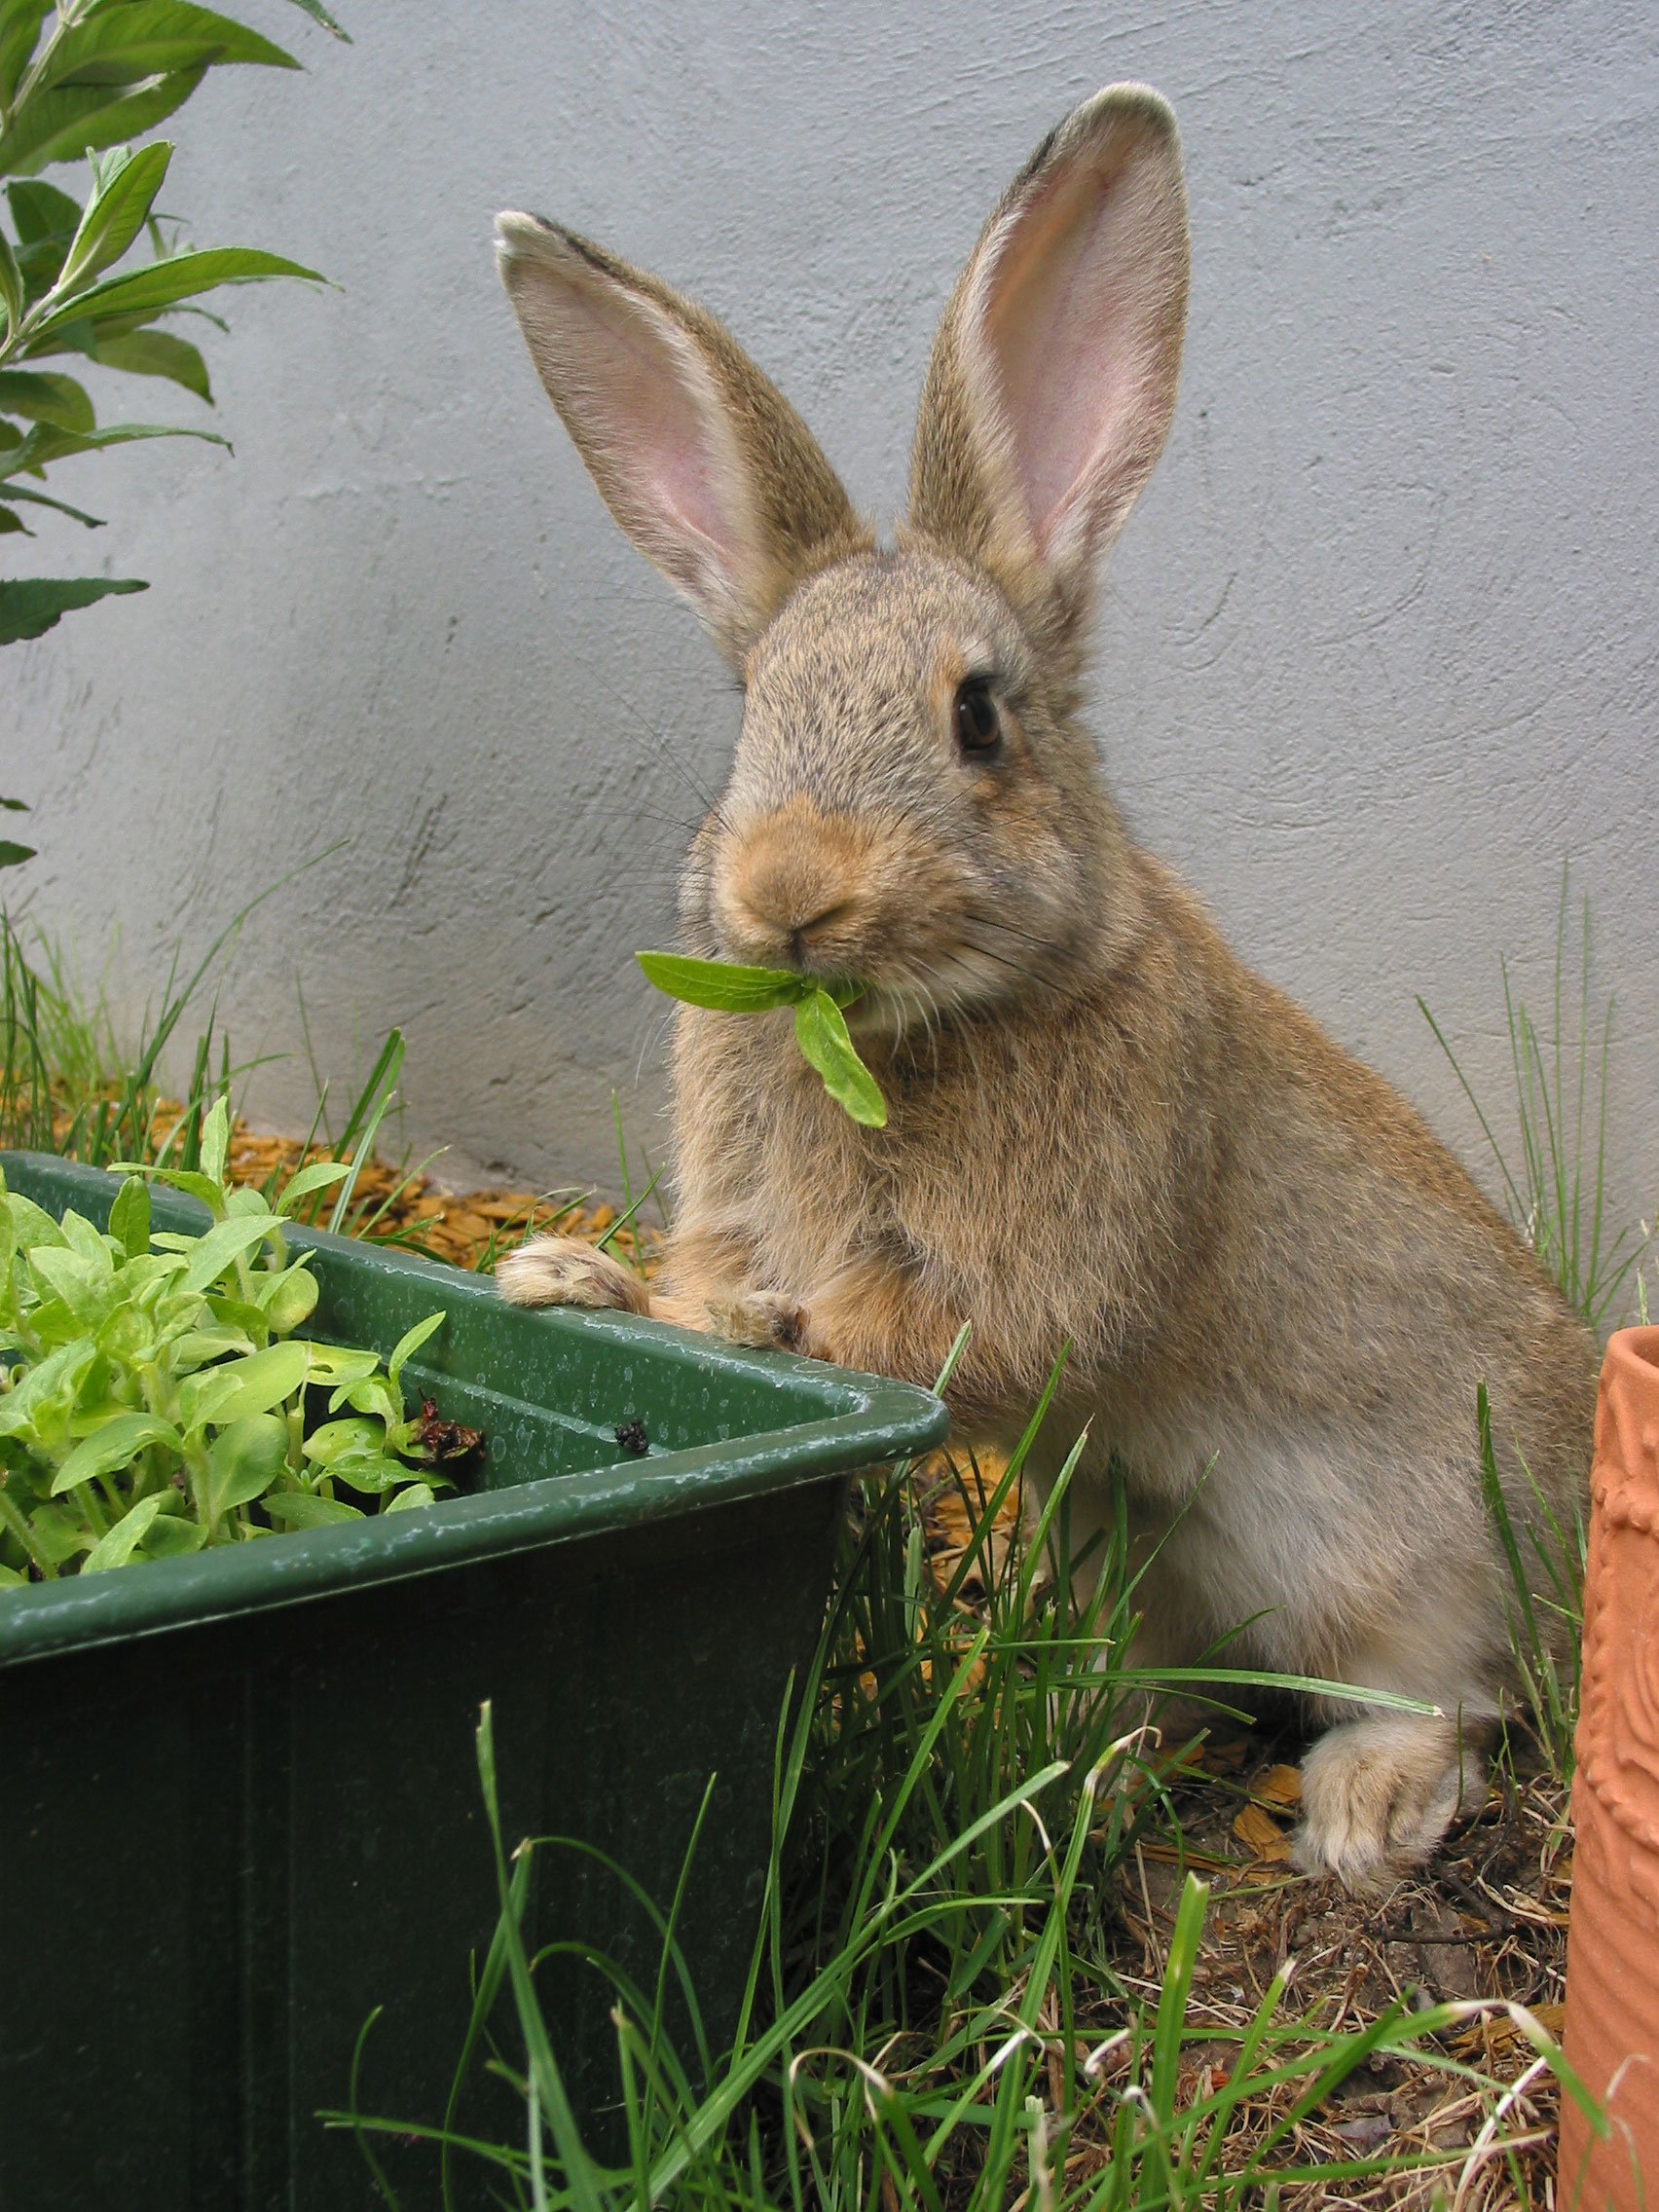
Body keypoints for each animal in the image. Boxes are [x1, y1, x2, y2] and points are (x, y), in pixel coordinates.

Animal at [491, 82, 1601, 1884]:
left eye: (977, 718)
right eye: (753, 713)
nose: (790, 891)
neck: (897, 1026)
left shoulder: (1046, 1259)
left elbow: (898, 1330)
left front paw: (705, 1312)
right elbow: (698, 1276)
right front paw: (560, 1278)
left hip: (1412, 1553)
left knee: (1453, 1691)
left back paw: (1361, 1808)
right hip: (1117, 1560)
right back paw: (1083, 1766)